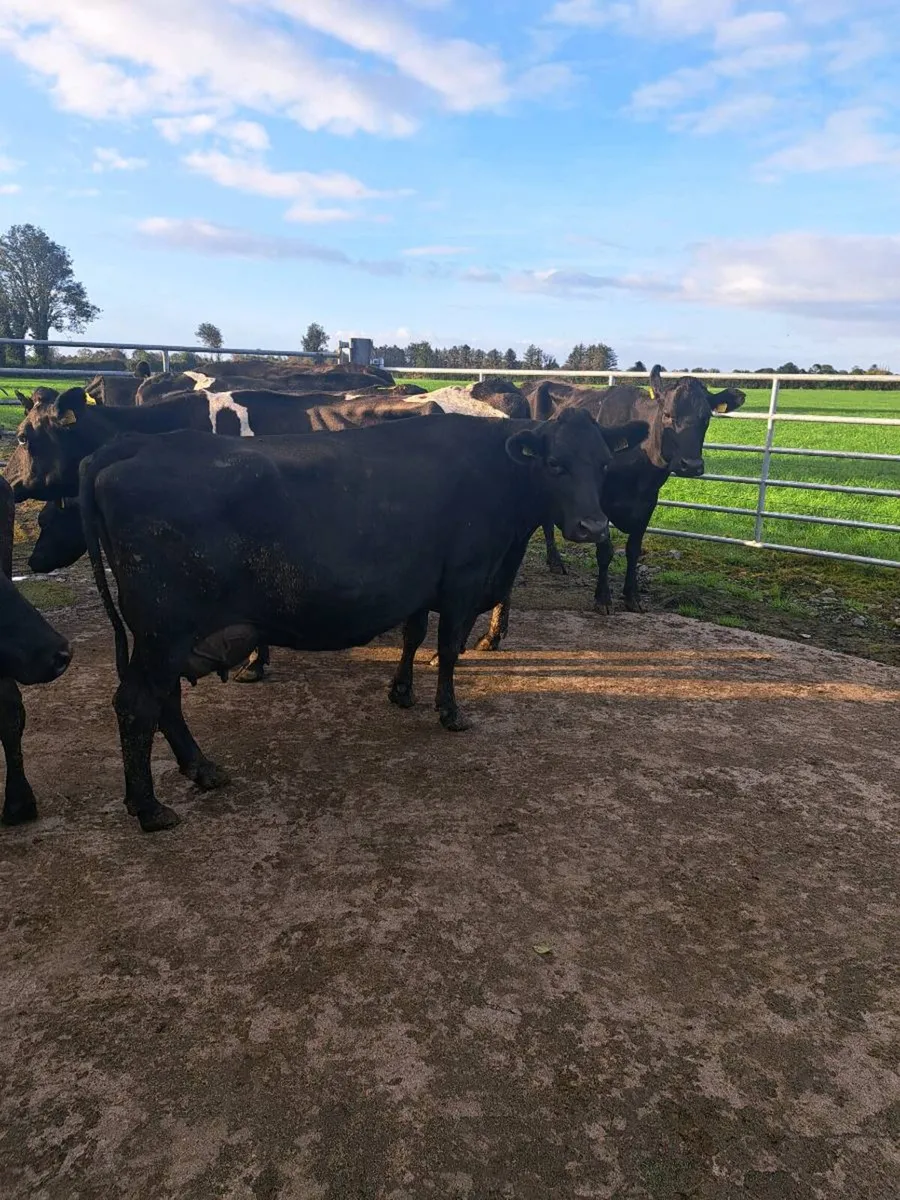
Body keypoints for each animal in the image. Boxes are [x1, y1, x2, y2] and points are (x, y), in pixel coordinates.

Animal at [79, 410, 646, 831]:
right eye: (554, 463)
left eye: (602, 464)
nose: (593, 526)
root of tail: (136, 444)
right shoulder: (462, 582)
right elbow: (449, 648)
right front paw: (450, 711)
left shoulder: (419, 583)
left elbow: (414, 636)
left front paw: (401, 691)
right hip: (163, 630)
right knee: (137, 705)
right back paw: (150, 808)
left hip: (166, 636)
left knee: (165, 701)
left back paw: (202, 769)